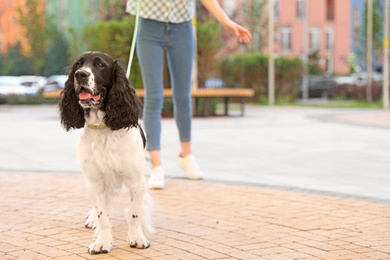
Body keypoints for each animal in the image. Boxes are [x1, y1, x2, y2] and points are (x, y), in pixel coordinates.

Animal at [59, 50, 152, 254]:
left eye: (100, 65)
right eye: (78, 65)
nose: (80, 75)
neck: (103, 129)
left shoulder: (136, 180)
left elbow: (134, 213)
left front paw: (137, 238)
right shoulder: (94, 181)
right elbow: (102, 215)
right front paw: (102, 241)